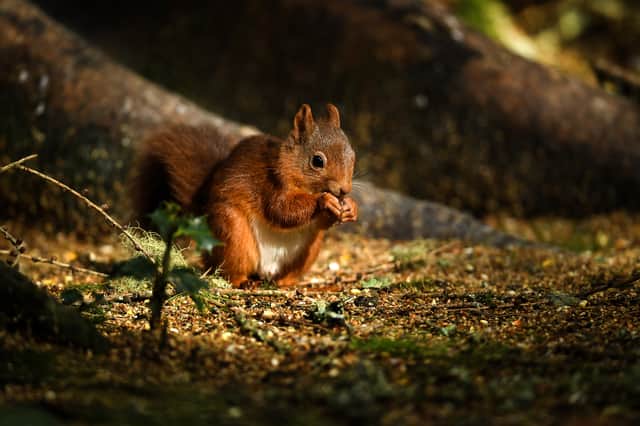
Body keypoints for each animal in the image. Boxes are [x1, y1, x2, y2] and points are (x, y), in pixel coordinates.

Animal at [130, 104, 358, 286]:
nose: (344, 190)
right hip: (232, 234)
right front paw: (324, 200)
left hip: (309, 250)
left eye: (353, 156)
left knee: (287, 274)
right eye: (317, 161)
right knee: (230, 269)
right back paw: (242, 281)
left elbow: (318, 223)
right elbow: (281, 210)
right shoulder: (270, 185)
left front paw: (351, 208)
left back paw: (291, 283)